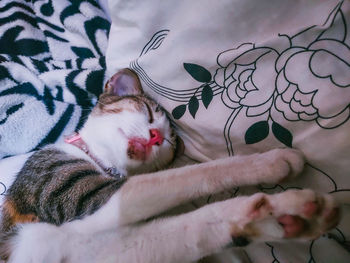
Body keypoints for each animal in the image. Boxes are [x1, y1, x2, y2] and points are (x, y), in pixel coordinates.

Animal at [0, 68, 340, 263]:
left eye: (167, 143)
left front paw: (283, 216)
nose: (155, 137)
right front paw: (268, 162)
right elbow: (188, 174)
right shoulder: (79, 196)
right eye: (149, 114)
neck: (97, 159)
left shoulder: (99, 250)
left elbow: (190, 231)